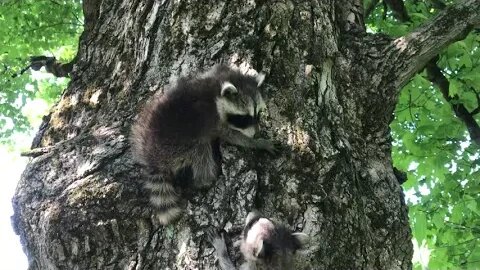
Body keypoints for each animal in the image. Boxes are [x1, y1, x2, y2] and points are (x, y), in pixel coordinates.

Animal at [130, 65, 278, 224]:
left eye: (257, 114)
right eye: (243, 118)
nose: (255, 133)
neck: (215, 89)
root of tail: (152, 158)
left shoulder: (216, 72)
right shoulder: (213, 119)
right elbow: (232, 136)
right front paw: (257, 143)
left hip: (142, 128)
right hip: (176, 146)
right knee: (201, 152)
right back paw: (206, 179)